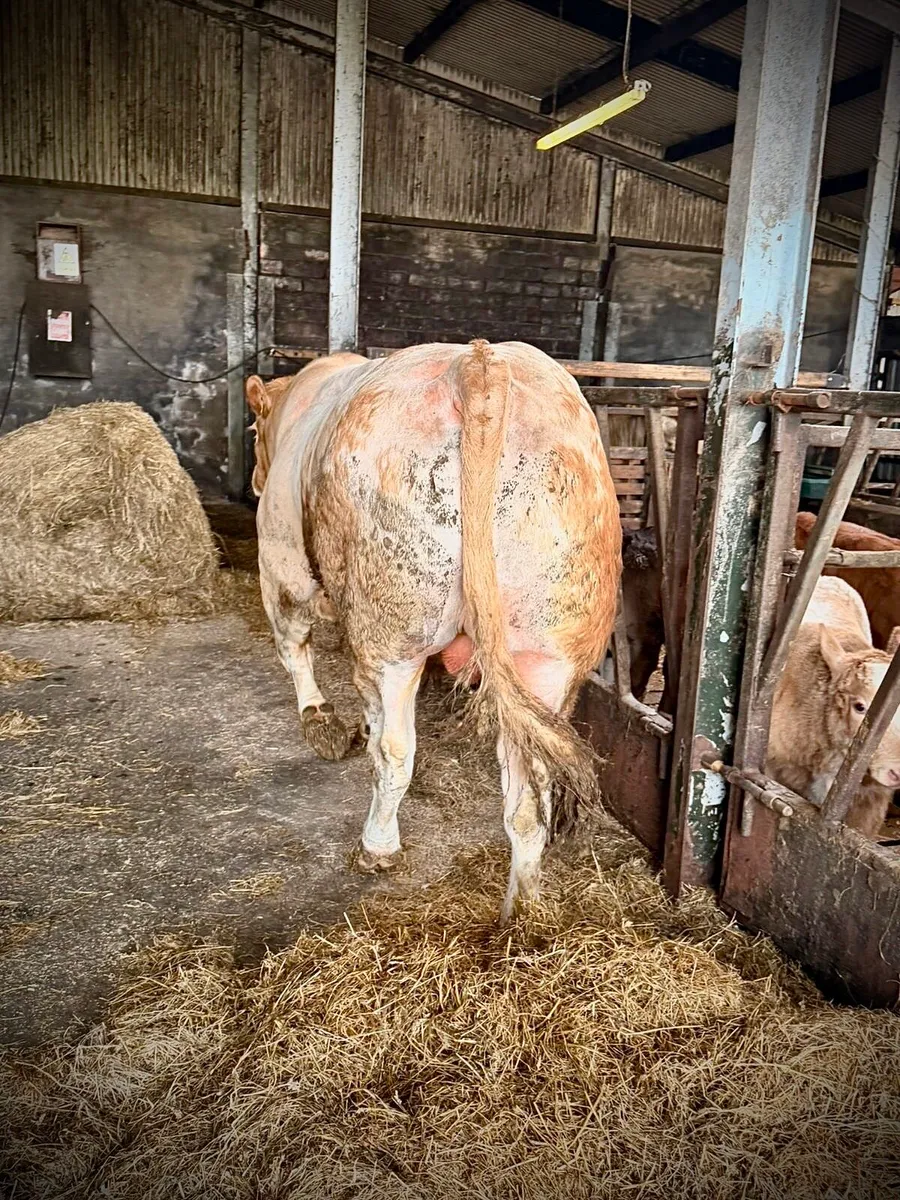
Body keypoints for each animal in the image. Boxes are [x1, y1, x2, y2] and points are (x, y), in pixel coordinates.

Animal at [245, 340, 621, 919]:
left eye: (251, 431)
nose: (253, 482)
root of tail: (480, 364)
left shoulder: (280, 561)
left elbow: (295, 646)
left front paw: (321, 722)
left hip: (395, 631)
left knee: (397, 752)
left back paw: (378, 847)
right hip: (549, 649)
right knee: (529, 793)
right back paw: (522, 915)